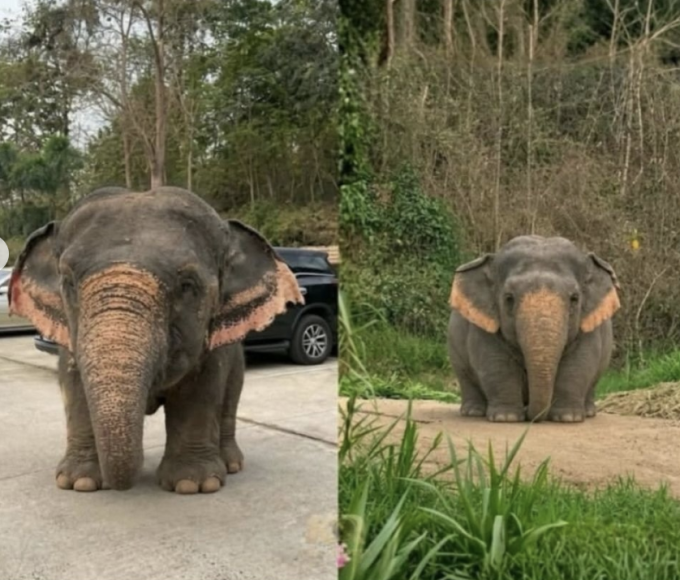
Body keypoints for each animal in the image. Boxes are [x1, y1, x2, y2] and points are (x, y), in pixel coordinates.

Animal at [8, 186, 303, 493]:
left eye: (187, 285)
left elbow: (200, 387)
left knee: (230, 397)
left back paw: (231, 464)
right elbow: (73, 384)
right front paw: (80, 482)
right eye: (67, 281)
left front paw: (192, 484)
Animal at [447, 235, 620, 423]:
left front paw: (567, 418)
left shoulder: (588, 323)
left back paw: (588, 412)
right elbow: (495, 362)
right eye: (509, 298)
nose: (529, 414)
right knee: (465, 376)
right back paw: (473, 412)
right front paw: (506, 417)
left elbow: (580, 361)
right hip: (455, 351)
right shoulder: (485, 323)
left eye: (575, 298)